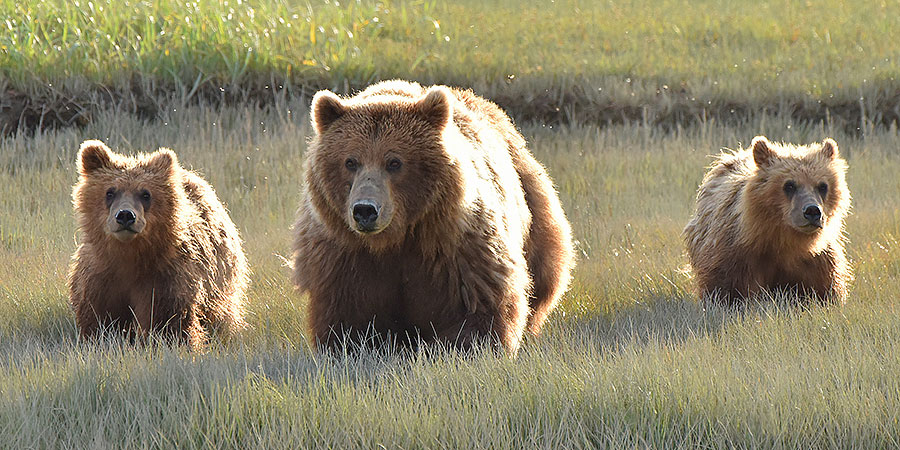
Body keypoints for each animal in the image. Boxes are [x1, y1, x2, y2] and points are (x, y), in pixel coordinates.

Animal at [68, 141, 248, 348]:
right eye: (110, 192)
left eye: (145, 194)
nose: (125, 215)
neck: (130, 255)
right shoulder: (100, 277)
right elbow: (99, 318)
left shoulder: (166, 277)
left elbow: (167, 319)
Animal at [296, 81, 576, 356]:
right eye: (350, 161)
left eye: (394, 162)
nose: (365, 210)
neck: (396, 238)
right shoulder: (344, 255)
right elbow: (348, 317)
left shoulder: (459, 247)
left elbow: (479, 307)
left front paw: (467, 346)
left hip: (534, 205)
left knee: (546, 271)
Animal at [684, 135, 848, 304]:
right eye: (789, 185)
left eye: (822, 186)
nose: (812, 211)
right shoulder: (735, 255)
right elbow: (723, 287)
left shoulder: (816, 262)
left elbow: (825, 290)